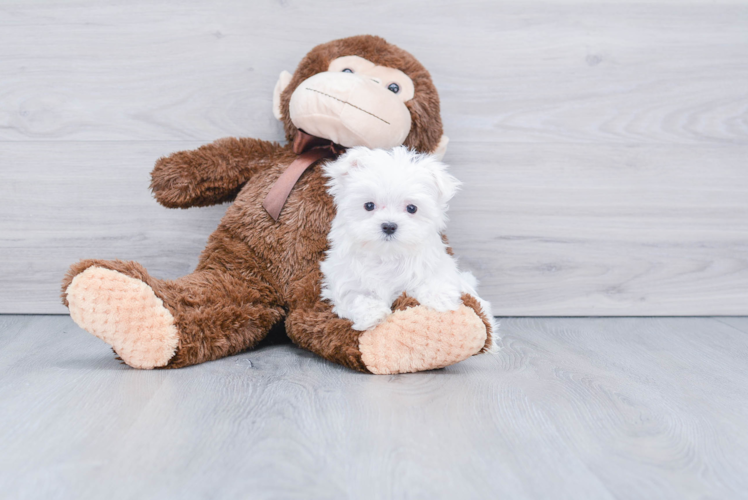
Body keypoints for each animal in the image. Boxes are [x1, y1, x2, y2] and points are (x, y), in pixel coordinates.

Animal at [322, 145, 496, 344]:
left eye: (412, 208)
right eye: (368, 205)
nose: (389, 226)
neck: (387, 256)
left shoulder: (434, 267)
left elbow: (436, 280)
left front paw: (440, 299)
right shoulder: (345, 282)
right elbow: (355, 298)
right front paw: (372, 314)